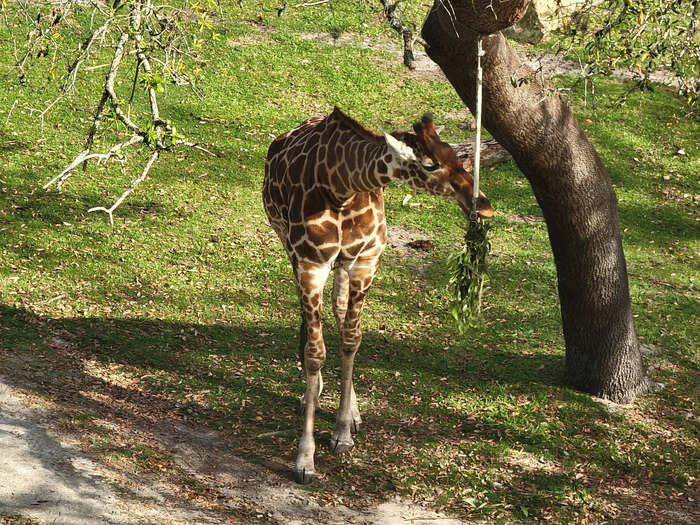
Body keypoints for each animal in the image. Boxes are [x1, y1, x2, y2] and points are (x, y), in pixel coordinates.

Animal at [262, 106, 492, 484]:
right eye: (430, 164)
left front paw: (343, 432)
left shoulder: (366, 260)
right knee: (313, 318)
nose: (484, 206)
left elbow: (351, 338)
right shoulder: (311, 263)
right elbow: (315, 352)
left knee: (340, 312)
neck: (342, 187)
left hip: (342, 264)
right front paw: (305, 460)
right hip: (287, 243)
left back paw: (351, 411)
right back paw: (314, 393)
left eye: (455, 154)